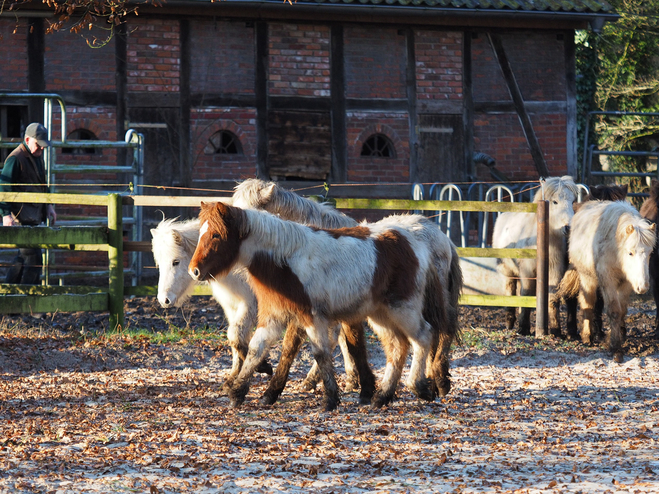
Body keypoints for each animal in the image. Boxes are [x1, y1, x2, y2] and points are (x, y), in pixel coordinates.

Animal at [188, 202, 462, 412]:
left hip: (403, 308)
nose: (194, 271)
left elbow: (320, 353)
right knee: (398, 346)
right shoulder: (275, 316)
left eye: (216, 235)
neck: (285, 259)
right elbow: (257, 349)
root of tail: (416, 242)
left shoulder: (312, 317)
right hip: (380, 315)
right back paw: (382, 396)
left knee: (423, 336)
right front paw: (238, 393)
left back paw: (420, 387)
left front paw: (329, 400)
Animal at [490, 176, 576, 338]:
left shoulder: (554, 271)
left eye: (573, 201)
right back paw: (510, 323)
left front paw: (555, 330)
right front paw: (523, 328)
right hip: (509, 272)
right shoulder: (527, 271)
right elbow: (527, 293)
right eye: (554, 201)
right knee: (510, 290)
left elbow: (552, 298)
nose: (569, 228)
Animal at [556, 201, 656, 362]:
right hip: (587, 278)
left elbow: (622, 311)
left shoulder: (626, 284)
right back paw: (587, 337)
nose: (643, 287)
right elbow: (614, 311)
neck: (615, 247)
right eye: (630, 252)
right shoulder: (608, 281)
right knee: (588, 304)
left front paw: (618, 337)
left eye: (650, 252)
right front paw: (615, 347)